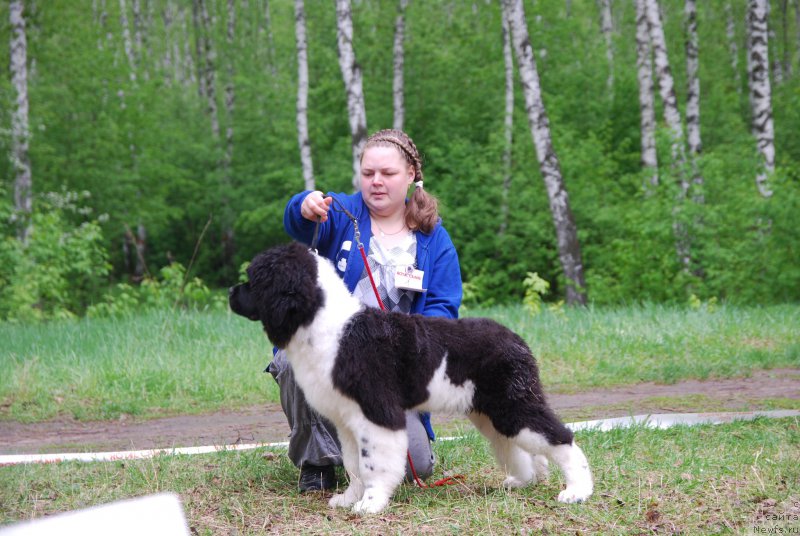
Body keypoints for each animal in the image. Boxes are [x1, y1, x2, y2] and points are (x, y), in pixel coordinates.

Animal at [228, 244, 592, 516]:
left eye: (254, 280)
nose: (231, 291)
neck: (327, 327)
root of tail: (517, 339)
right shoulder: (346, 419)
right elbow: (353, 463)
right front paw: (349, 499)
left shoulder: (377, 412)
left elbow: (373, 464)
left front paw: (370, 504)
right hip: (490, 411)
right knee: (515, 445)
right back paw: (523, 480)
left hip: (511, 404)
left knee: (560, 437)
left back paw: (577, 491)